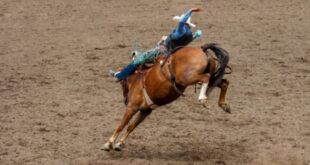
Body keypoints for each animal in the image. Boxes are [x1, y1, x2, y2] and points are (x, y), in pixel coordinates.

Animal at [101, 43, 230, 151]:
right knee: (223, 82)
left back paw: (203, 98)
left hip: (186, 77)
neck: (137, 79)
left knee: (206, 77)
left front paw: (109, 143)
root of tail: (202, 48)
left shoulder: (132, 107)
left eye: (122, 84)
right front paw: (120, 144)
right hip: (210, 75)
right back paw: (223, 104)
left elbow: (121, 125)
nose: (125, 100)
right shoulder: (145, 111)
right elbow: (131, 127)